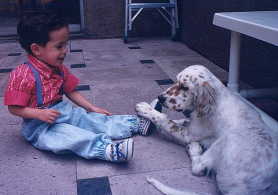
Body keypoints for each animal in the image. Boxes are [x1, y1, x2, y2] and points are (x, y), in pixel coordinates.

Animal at [135, 65, 278, 195]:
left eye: (185, 87)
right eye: (176, 81)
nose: (160, 97)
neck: (215, 100)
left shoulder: (189, 134)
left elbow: (166, 120)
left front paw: (146, 109)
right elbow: (182, 121)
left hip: (227, 139)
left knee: (198, 168)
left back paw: (194, 148)